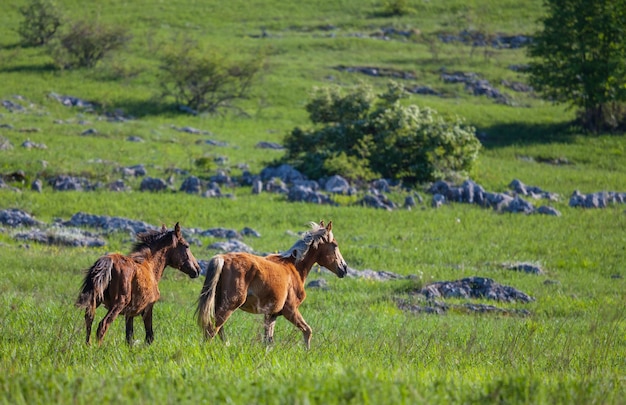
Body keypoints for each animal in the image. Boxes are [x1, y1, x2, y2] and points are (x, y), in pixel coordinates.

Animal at [196, 219, 346, 348]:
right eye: (335, 245)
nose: (344, 268)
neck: (294, 267)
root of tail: (222, 258)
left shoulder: (271, 315)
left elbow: (268, 340)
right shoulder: (290, 310)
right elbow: (307, 331)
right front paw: (307, 352)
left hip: (219, 304)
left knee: (218, 330)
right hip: (230, 305)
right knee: (211, 330)